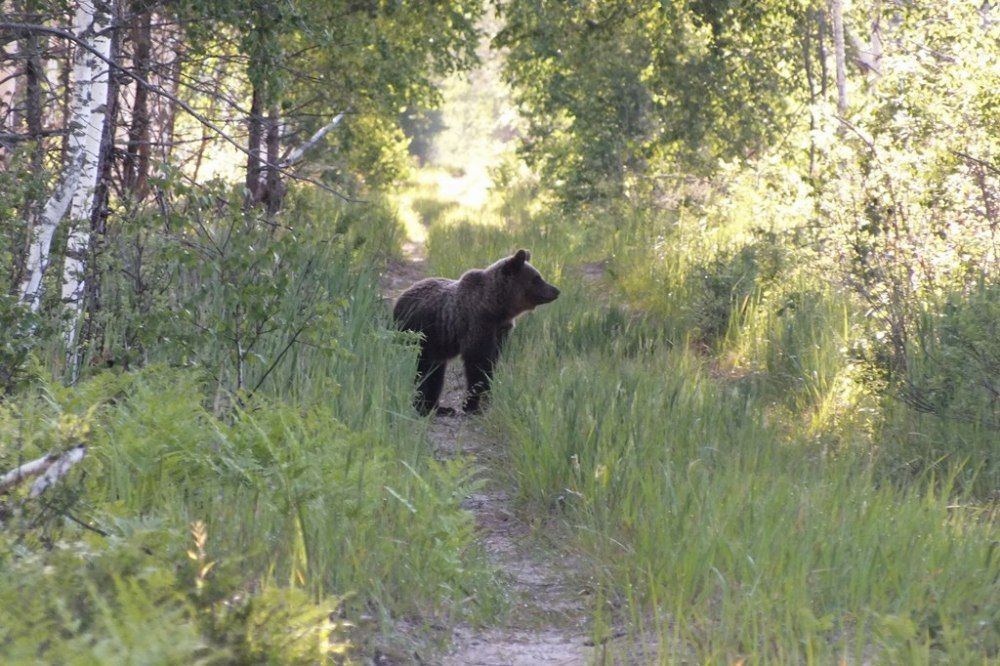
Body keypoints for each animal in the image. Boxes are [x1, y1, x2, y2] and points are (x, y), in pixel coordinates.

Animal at [392, 249, 564, 416]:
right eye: (537, 278)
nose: (556, 290)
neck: (495, 308)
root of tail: (401, 297)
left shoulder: (500, 332)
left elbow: (491, 362)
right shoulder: (477, 325)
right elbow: (477, 363)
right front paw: (473, 404)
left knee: (435, 372)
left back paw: (437, 407)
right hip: (418, 332)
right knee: (423, 369)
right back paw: (423, 407)